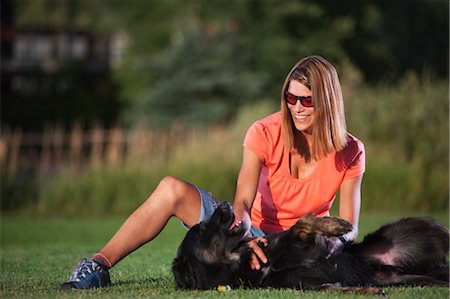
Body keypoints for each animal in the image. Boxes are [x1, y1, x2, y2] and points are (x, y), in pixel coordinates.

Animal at [173, 203, 450, 294]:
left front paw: (336, 225)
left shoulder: (296, 239)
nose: (225, 204)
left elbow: (303, 223)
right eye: (201, 229)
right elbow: (337, 288)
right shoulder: (307, 285)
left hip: (419, 230)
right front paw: (367, 290)